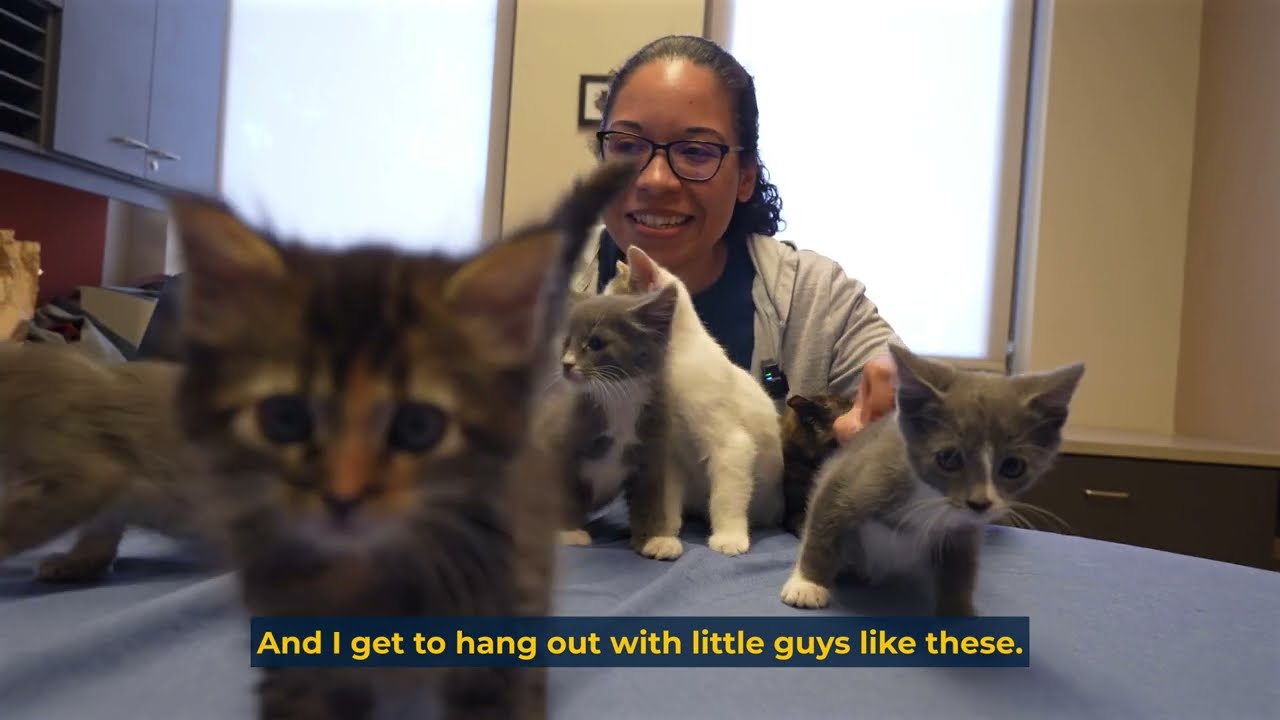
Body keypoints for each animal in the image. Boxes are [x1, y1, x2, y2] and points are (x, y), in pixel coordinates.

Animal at [534, 284, 681, 559]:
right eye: (566, 343)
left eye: (596, 343)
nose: (566, 364)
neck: (619, 400)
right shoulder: (560, 448)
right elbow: (563, 493)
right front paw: (568, 532)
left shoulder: (652, 452)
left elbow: (650, 498)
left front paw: (656, 538)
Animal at [603, 244, 784, 558]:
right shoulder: (667, 454)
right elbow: (665, 499)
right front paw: (662, 534)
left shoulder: (731, 445)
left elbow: (725, 496)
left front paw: (729, 536)